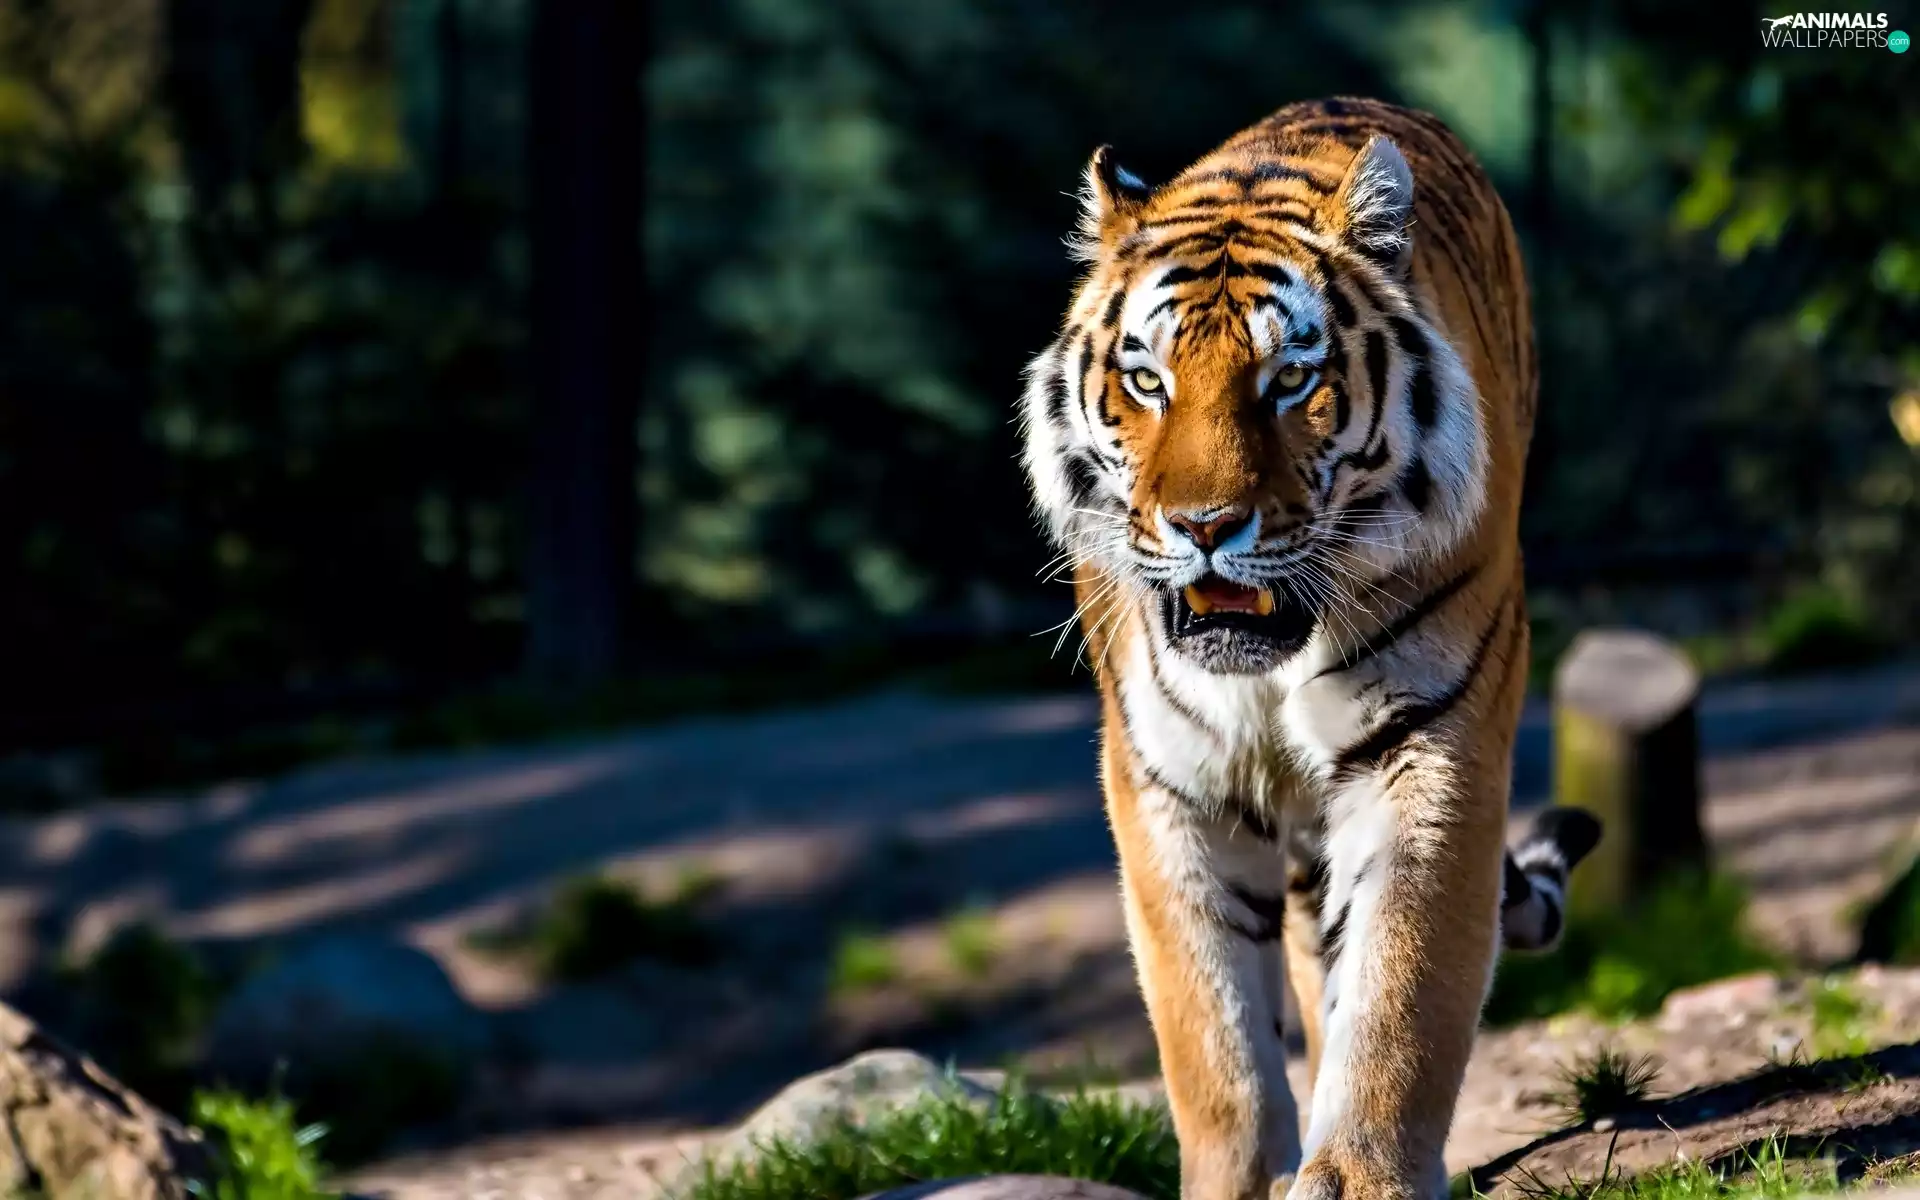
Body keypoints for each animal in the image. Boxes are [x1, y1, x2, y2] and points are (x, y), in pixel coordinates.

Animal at [1018, 96, 1602, 1200]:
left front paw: (1361, 1176)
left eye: (1290, 380)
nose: (1205, 525)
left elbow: (1401, 983)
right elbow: (1210, 1033)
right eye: (1148, 380)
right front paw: (1242, 1183)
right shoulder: (1167, 780)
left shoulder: (1430, 745)